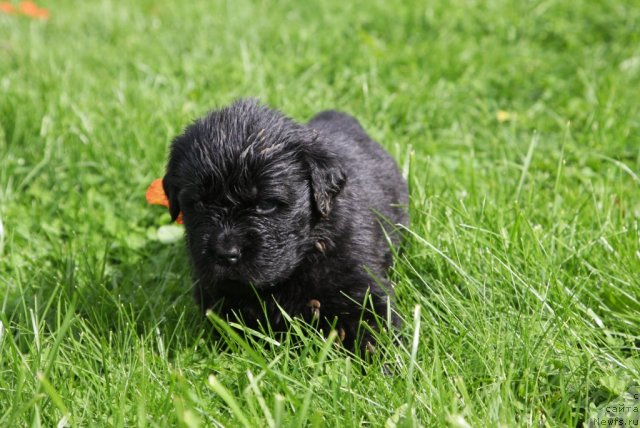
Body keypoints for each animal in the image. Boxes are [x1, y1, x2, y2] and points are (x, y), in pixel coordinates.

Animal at [162, 100, 408, 352]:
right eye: (199, 203)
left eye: (267, 204)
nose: (225, 253)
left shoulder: (358, 283)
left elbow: (374, 328)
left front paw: (387, 359)